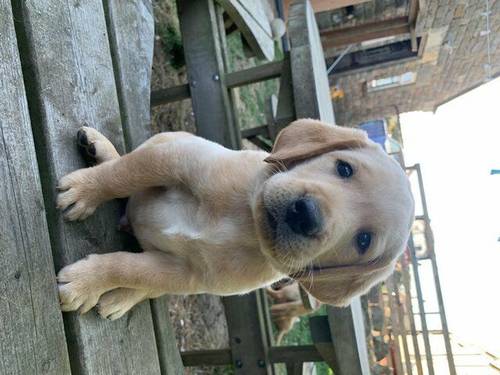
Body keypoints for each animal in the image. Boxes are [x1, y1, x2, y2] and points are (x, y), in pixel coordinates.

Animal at [56, 119, 414, 320]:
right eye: (344, 168)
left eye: (363, 240)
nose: (306, 214)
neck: (244, 219)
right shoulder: (171, 159)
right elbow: (121, 176)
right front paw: (85, 191)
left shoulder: (186, 274)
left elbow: (130, 269)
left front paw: (86, 283)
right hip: (167, 140)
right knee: (125, 166)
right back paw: (100, 147)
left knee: (146, 286)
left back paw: (119, 299)